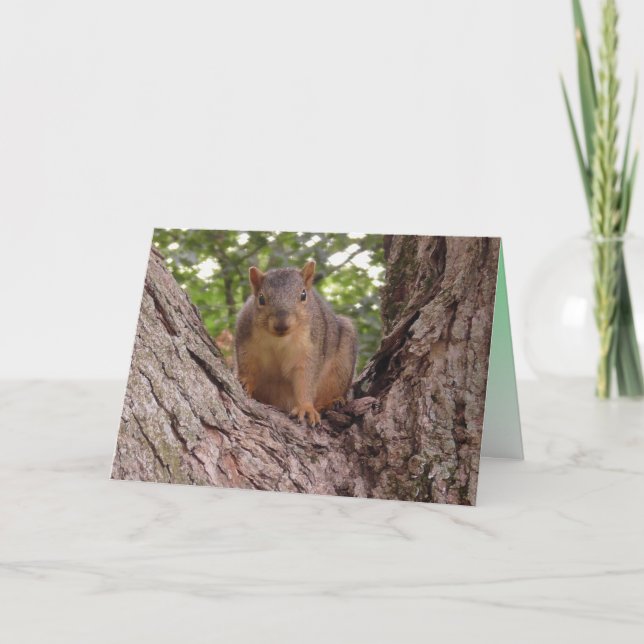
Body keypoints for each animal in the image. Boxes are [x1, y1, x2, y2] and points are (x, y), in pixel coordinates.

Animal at [235, 260, 357, 426]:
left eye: (303, 295)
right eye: (261, 299)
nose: (281, 325)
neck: (279, 340)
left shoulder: (310, 350)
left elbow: (306, 378)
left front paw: (305, 408)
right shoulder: (247, 342)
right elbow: (247, 365)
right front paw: (246, 382)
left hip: (342, 364)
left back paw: (330, 403)